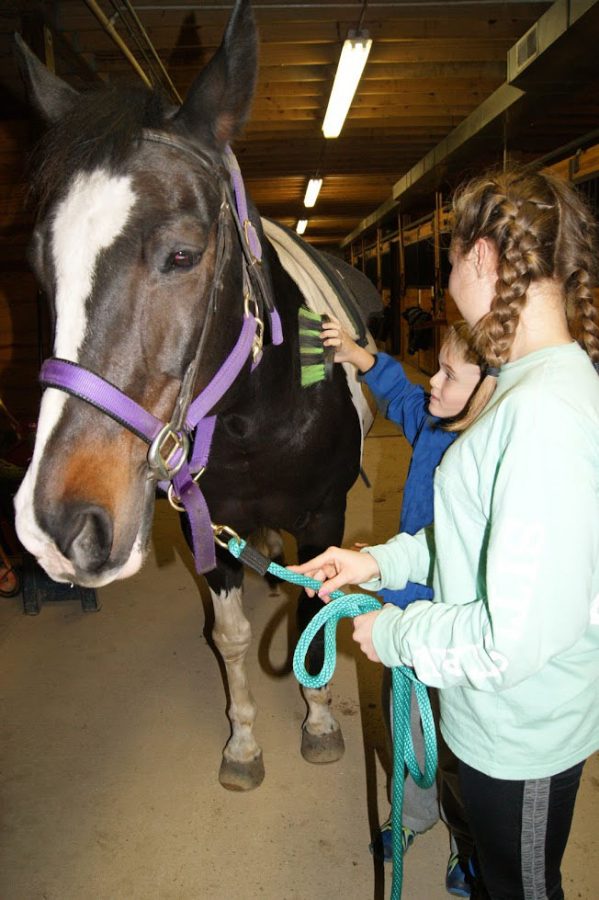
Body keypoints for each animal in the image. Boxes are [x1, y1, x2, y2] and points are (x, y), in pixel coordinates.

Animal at [12, 0, 380, 792]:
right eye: (39, 265)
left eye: (182, 255)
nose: (57, 527)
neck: (255, 418)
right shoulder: (205, 527)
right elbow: (232, 635)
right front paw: (242, 744)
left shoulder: (324, 515)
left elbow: (312, 617)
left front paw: (320, 724)